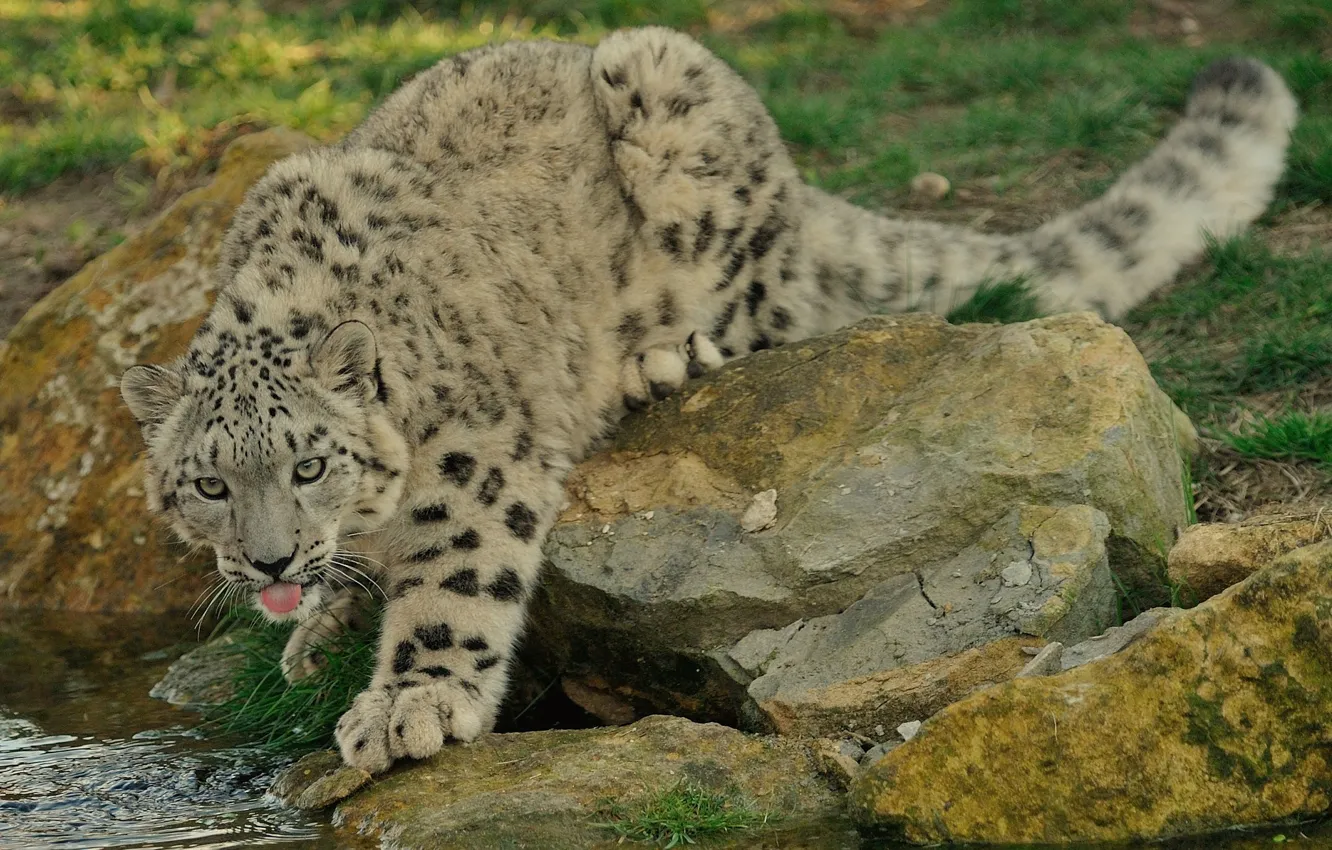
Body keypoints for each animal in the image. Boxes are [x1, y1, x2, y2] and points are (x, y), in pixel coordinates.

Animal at [122, 28, 1289, 778]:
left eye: (311, 464)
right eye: (210, 484)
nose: (269, 559)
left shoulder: (475, 454)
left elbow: (454, 574)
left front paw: (412, 701)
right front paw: (321, 627)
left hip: (673, 107)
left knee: (768, 304)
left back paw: (662, 354)